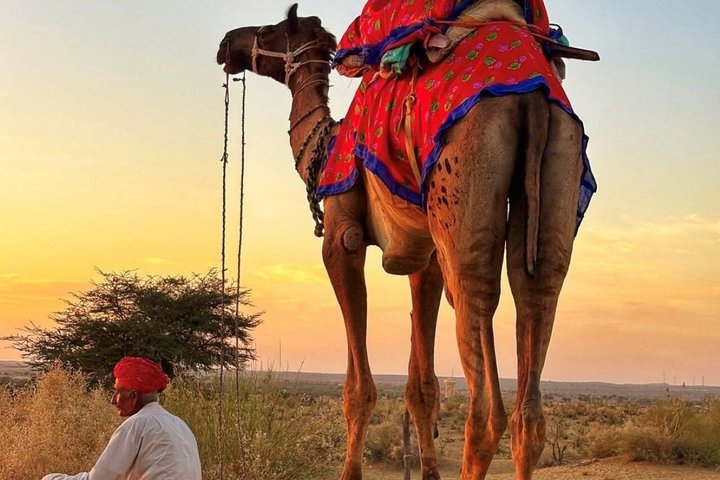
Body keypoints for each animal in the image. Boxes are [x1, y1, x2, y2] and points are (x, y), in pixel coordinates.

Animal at [217, 3, 592, 479]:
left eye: (267, 29)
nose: (227, 44)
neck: (326, 145)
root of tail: (534, 95)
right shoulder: (425, 257)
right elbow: (422, 388)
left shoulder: (341, 237)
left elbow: (358, 390)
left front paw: (350, 471)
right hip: (559, 162)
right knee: (536, 312)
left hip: (466, 175)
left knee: (484, 386)